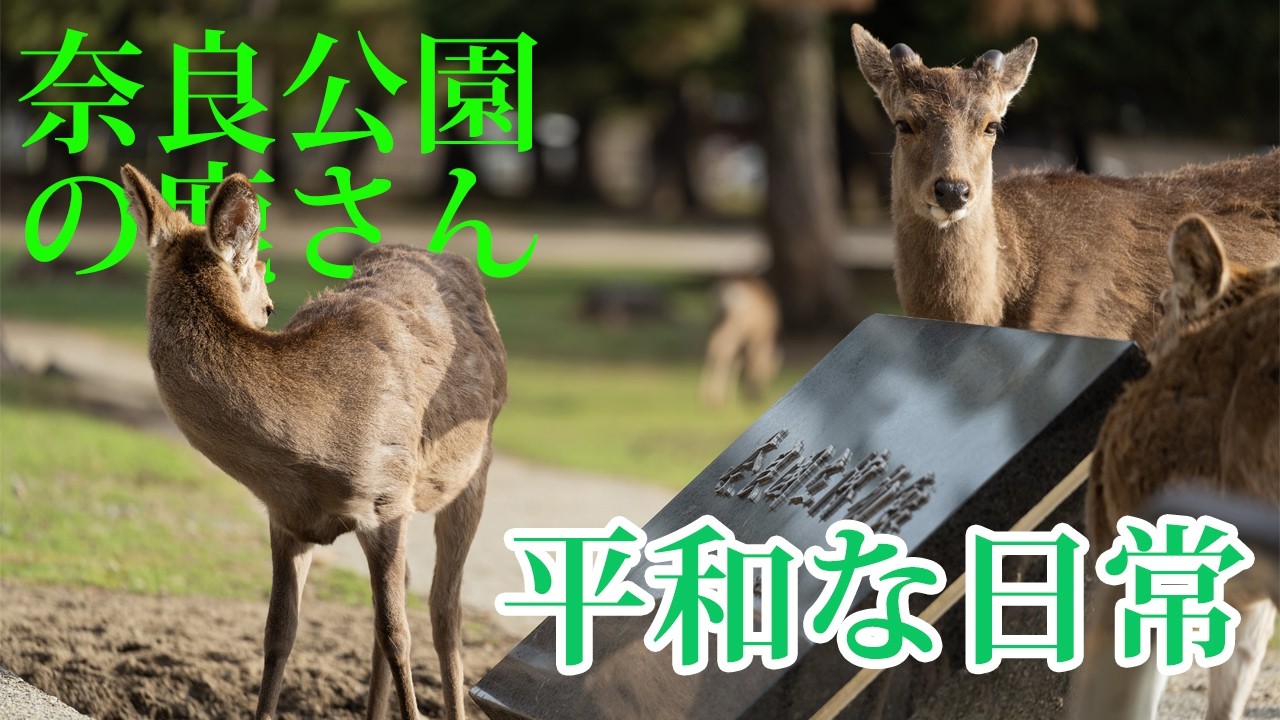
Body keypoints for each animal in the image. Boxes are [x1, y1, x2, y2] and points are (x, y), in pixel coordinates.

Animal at [122, 164, 507, 720]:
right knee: (407, 594)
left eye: (269, 305)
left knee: (444, 609)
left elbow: (398, 633)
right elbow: (278, 632)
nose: (265, 308)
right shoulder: (286, 521)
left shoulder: (387, 500)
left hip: (474, 470)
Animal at [699, 277, 782, 407]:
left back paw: (703, 397)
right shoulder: (755, 337)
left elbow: (738, 363)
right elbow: (749, 361)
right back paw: (716, 399)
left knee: (712, 346)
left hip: (716, 320)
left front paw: (733, 397)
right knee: (724, 351)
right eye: (767, 376)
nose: (759, 397)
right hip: (735, 324)